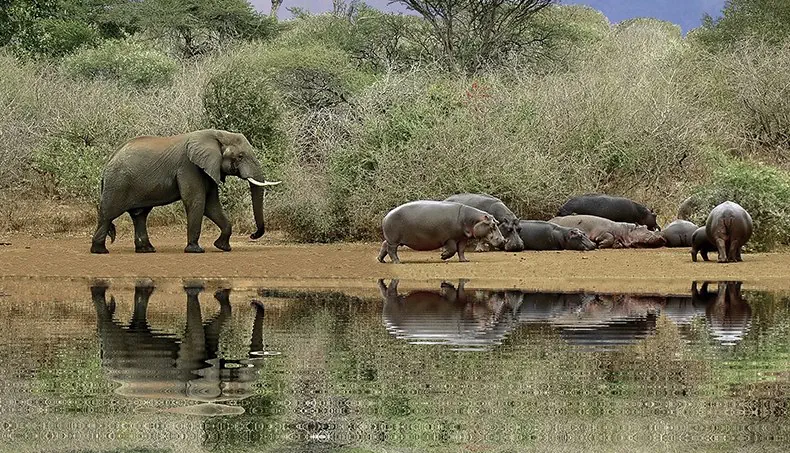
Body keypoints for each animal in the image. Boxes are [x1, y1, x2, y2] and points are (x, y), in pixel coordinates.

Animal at [90, 129, 281, 254]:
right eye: (240, 156)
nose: (253, 235)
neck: (218, 135)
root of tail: (107, 163)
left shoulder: (208, 168)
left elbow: (211, 205)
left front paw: (223, 247)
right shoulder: (188, 167)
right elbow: (197, 201)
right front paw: (196, 250)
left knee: (140, 215)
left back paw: (147, 250)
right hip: (118, 184)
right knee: (108, 214)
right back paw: (100, 251)